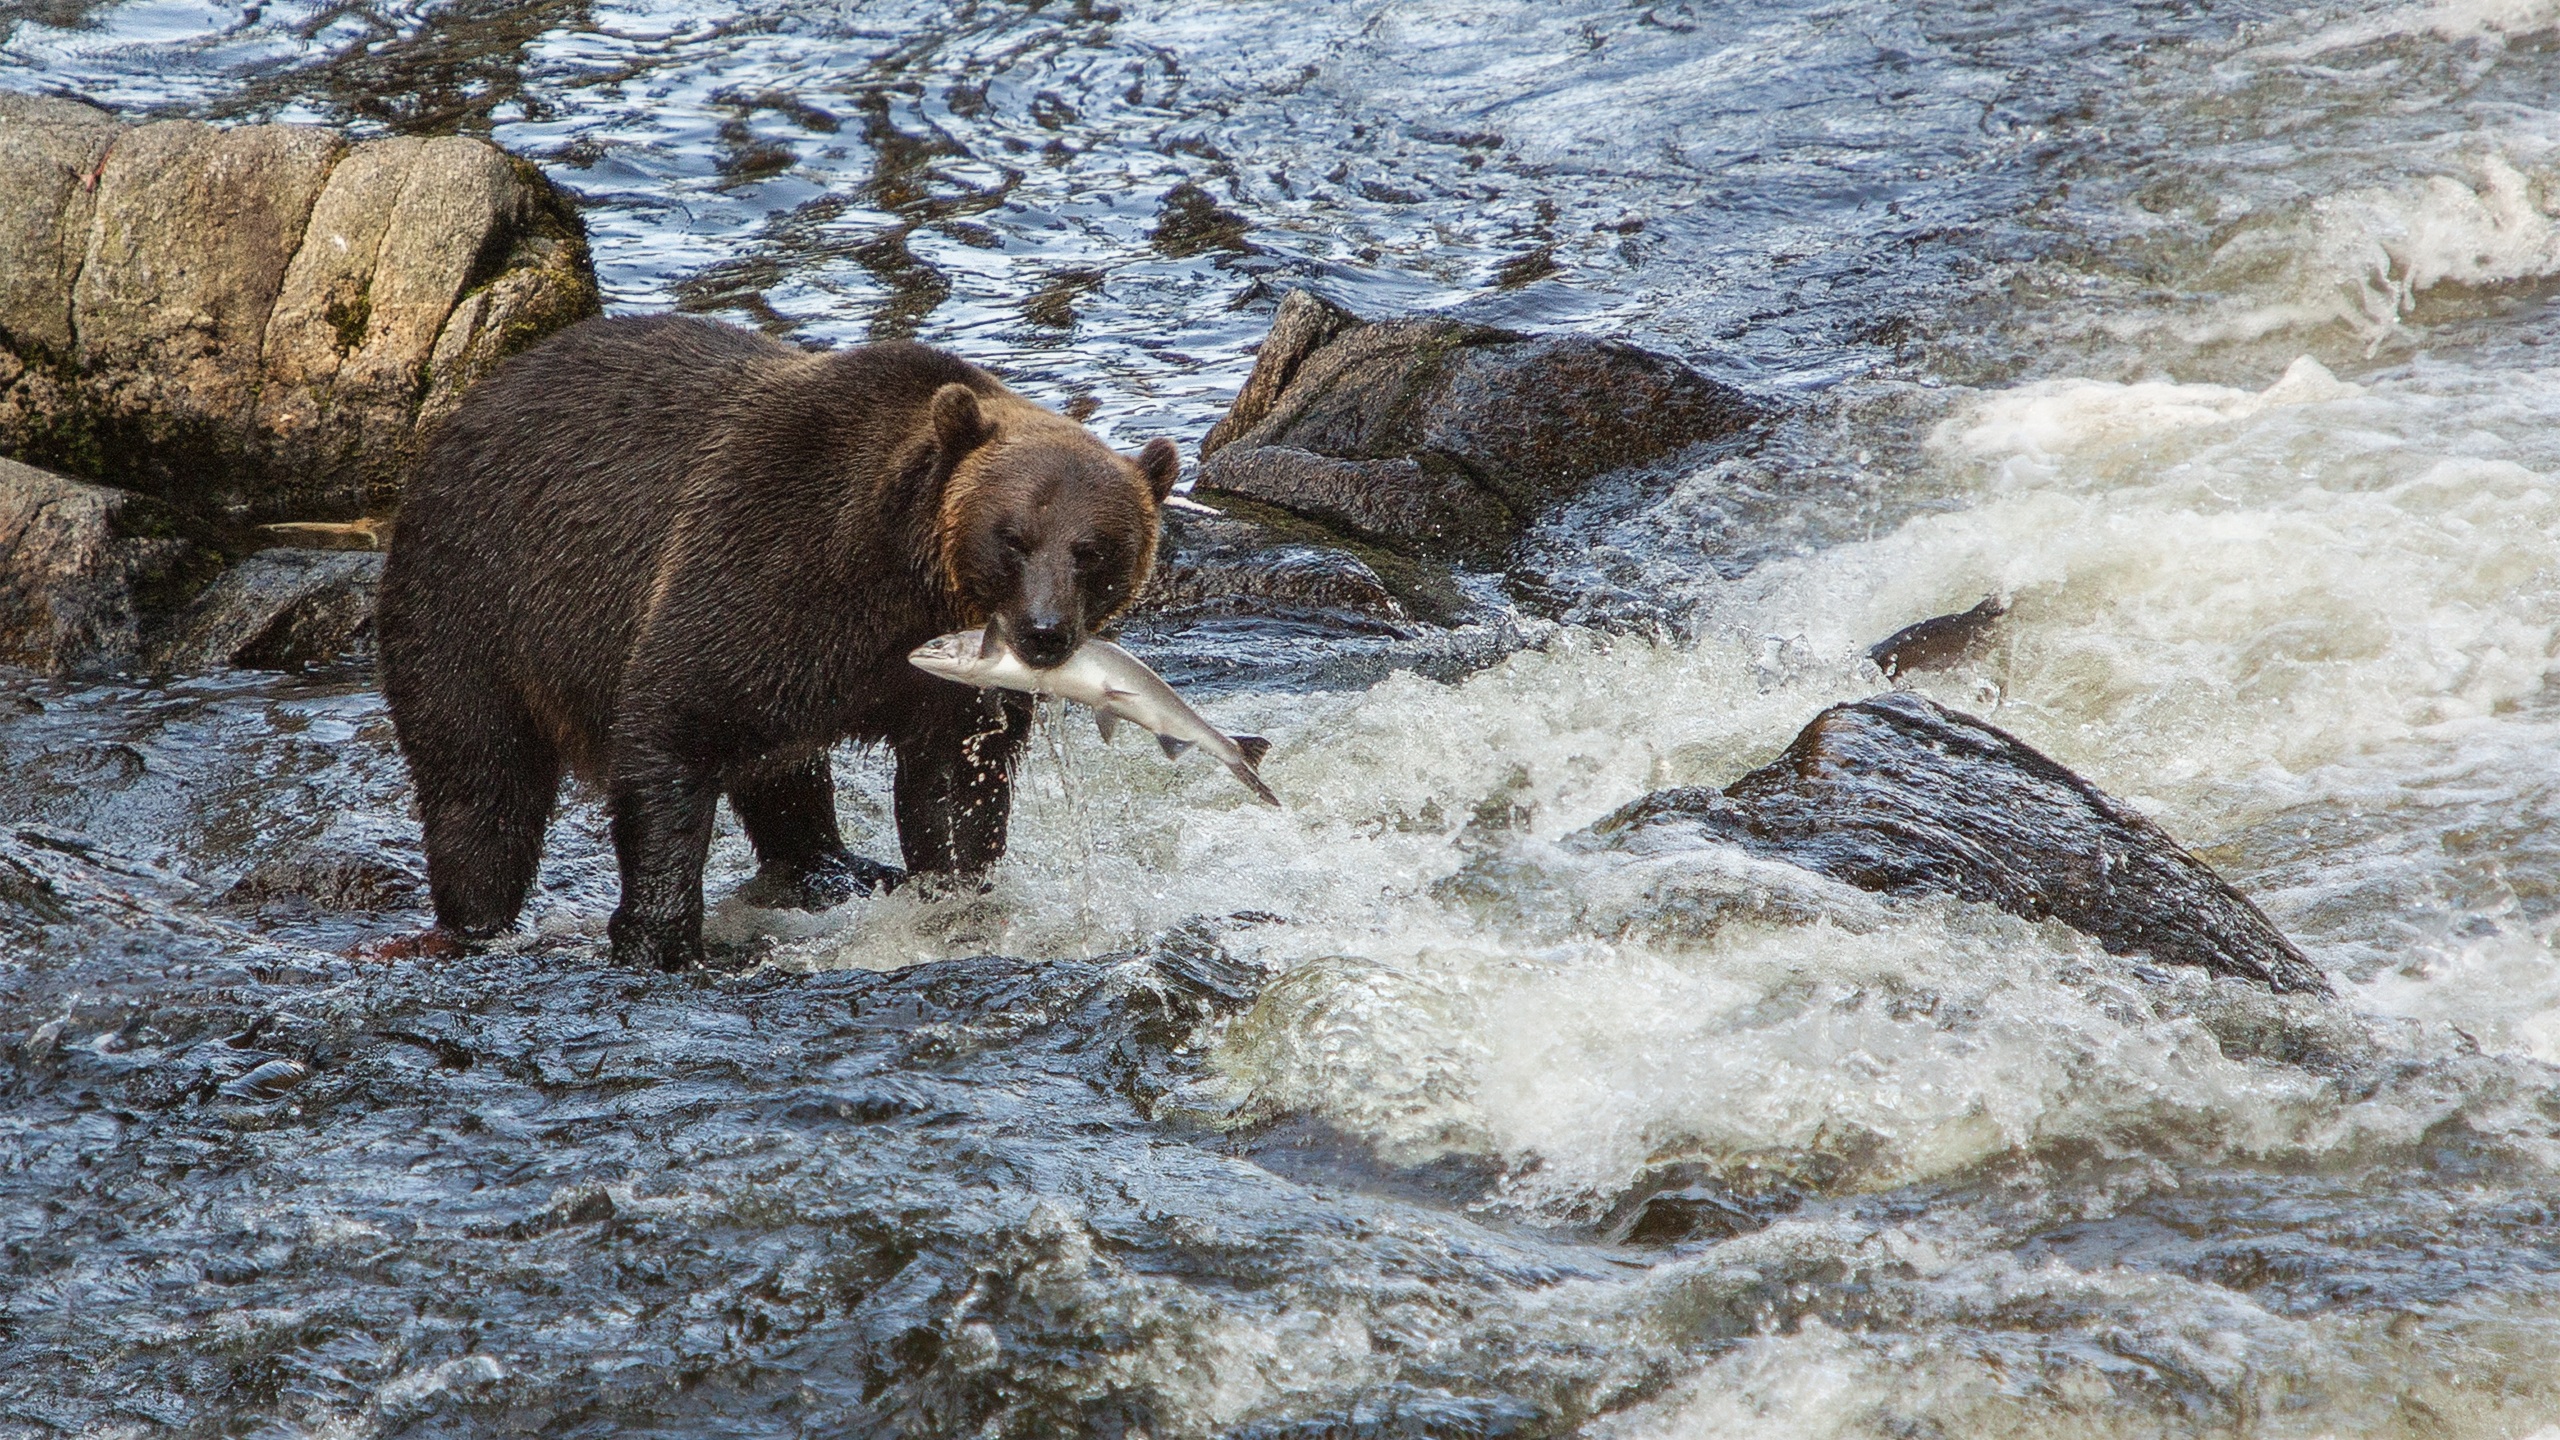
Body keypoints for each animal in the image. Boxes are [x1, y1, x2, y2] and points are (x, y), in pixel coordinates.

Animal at [373, 311, 1172, 963]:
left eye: (1093, 550)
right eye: (1014, 538)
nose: (1044, 633)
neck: (899, 580)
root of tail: (469, 406)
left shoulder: (941, 683)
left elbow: (954, 786)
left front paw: (953, 891)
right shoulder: (766, 558)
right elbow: (672, 726)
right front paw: (658, 935)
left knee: (783, 770)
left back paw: (834, 866)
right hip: (476, 596)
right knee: (480, 775)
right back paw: (477, 917)